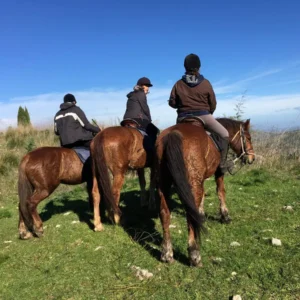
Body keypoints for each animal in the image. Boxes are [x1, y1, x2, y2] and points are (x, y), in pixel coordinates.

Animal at [154, 118, 254, 266]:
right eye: (248, 138)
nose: (252, 158)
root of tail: (173, 134)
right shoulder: (219, 172)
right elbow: (221, 191)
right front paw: (225, 216)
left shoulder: (201, 180)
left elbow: (202, 197)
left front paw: (201, 215)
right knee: (189, 214)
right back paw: (194, 254)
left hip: (163, 183)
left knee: (165, 213)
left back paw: (167, 253)